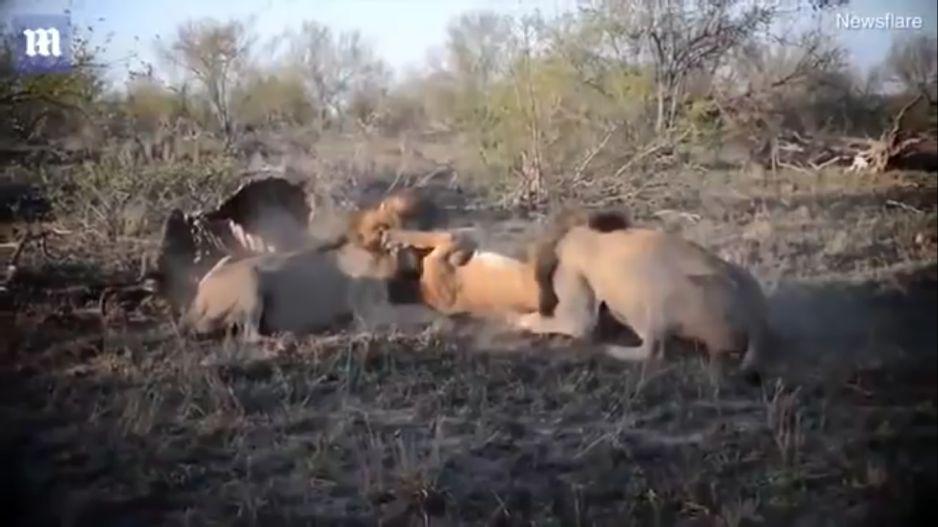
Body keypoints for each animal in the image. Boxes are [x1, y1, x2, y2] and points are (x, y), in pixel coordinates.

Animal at [516, 208, 772, 378]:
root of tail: (756, 323)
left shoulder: (577, 304)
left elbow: (569, 323)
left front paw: (520, 321)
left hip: (663, 300)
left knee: (653, 352)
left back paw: (609, 350)